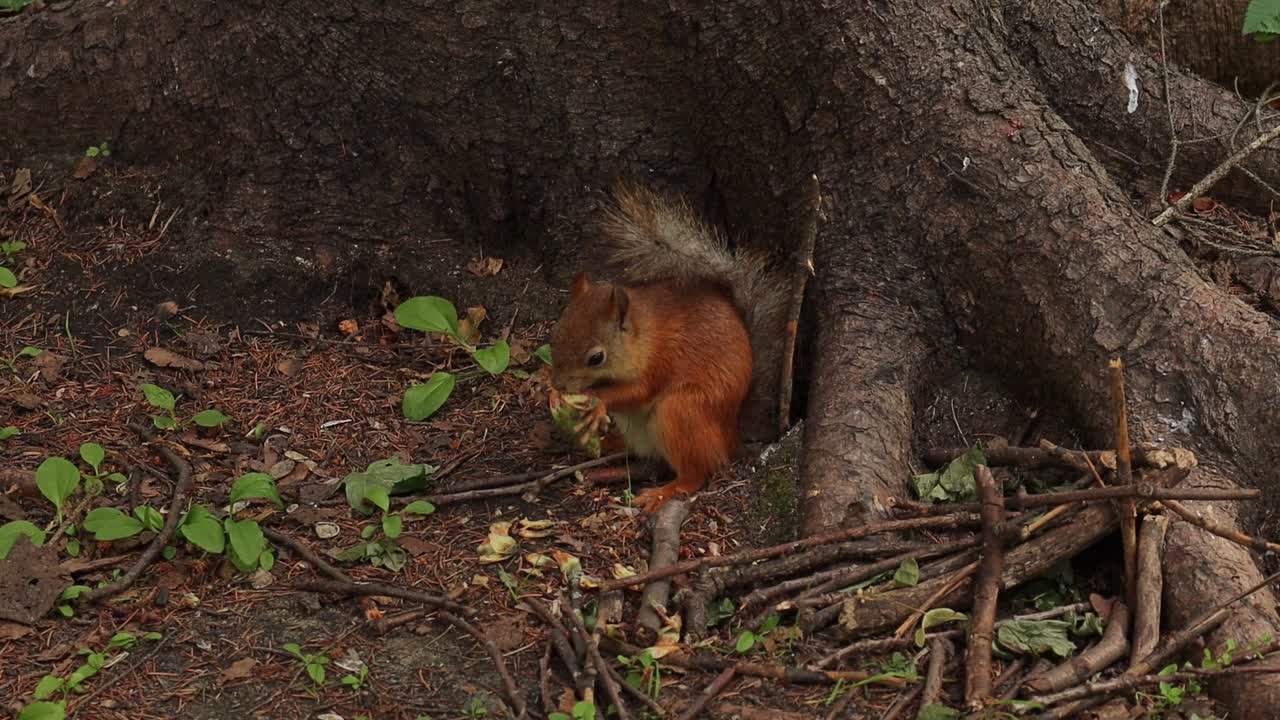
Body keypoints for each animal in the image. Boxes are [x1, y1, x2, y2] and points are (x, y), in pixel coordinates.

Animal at [548, 183, 788, 513]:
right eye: (555, 334)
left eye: (596, 358)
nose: (559, 383)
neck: (645, 336)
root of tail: (731, 433)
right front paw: (549, 392)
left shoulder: (660, 362)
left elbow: (637, 392)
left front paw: (596, 401)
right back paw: (606, 444)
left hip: (681, 412)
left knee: (697, 473)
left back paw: (663, 492)